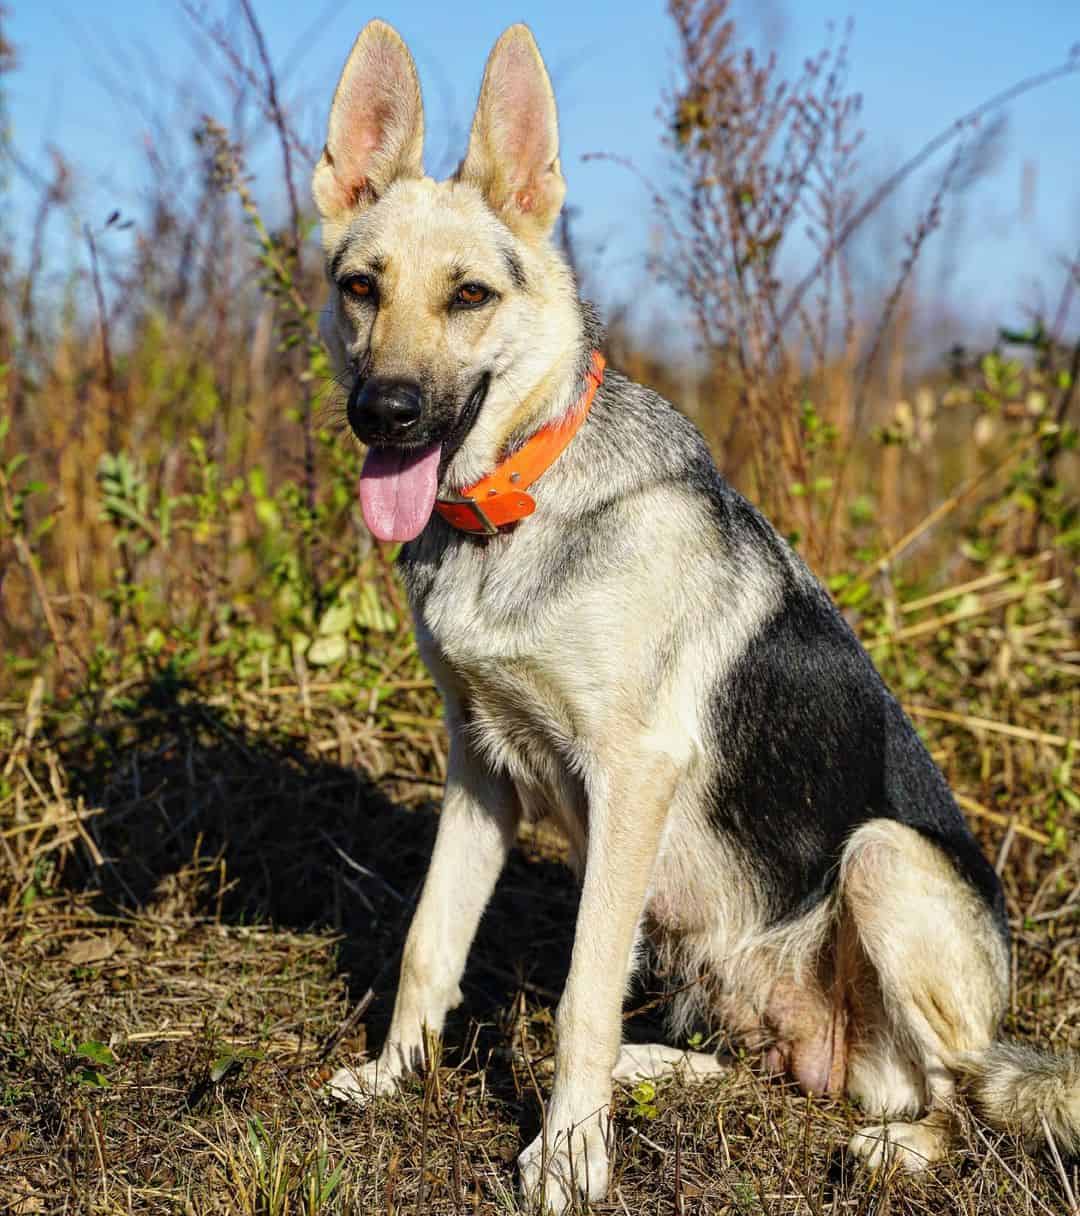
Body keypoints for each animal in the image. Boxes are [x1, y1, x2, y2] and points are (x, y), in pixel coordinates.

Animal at [313, 19, 1080, 1206]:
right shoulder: (480, 764)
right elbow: (429, 941)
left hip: (883, 862)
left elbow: (579, 991)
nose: (383, 412)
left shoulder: (632, 774)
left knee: (958, 1099)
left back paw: (895, 1147)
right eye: (361, 286)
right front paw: (396, 1079)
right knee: (776, 1068)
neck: (519, 499)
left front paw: (567, 1157)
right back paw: (659, 1068)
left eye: (470, 297)